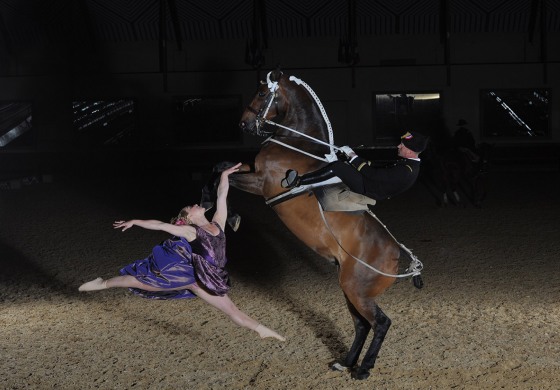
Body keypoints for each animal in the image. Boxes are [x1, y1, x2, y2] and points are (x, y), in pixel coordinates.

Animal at [219, 68, 420, 380]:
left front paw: (231, 218)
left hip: (356, 290)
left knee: (380, 323)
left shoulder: (261, 182)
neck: (297, 144)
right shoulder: (253, 173)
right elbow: (221, 170)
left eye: (263, 92)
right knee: (361, 324)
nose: (244, 124)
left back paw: (363, 369)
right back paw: (346, 362)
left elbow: (222, 177)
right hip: (349, 288)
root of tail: (398, 256)